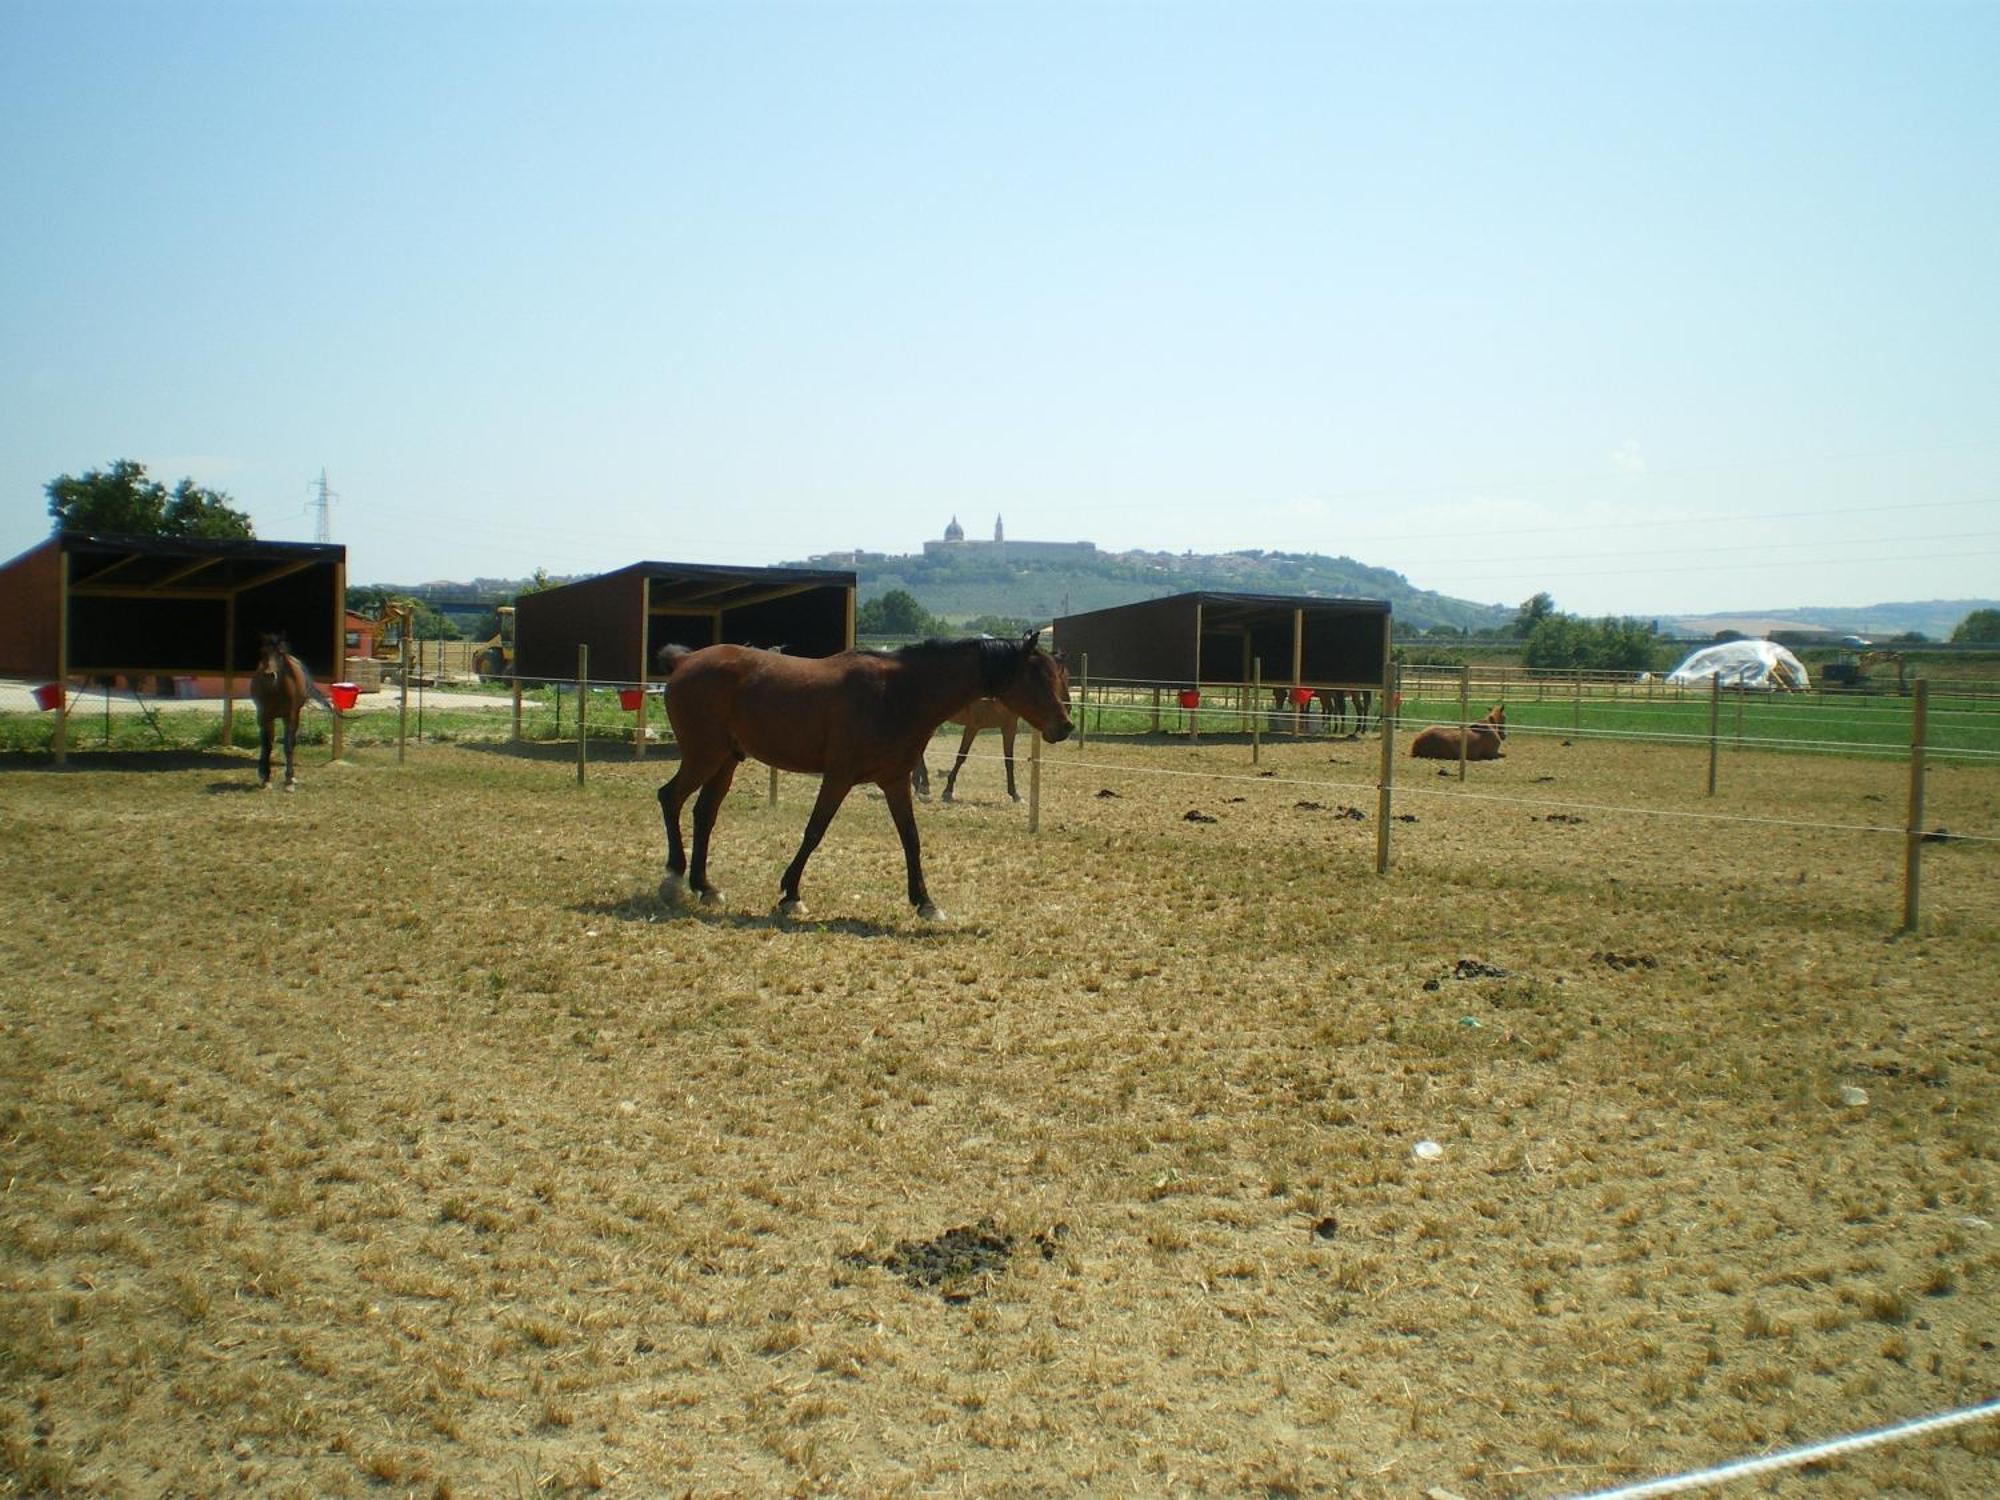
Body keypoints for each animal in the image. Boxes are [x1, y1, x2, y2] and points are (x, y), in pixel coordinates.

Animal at [250, 632, 332, 792]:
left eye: (281, 653)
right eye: (263, 652)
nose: (269, 675)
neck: (277, 690)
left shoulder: (291, 715)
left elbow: (288, 745)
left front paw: (289, 780)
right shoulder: (266, 716)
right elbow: (267, 745)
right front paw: (266, 779)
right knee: (265, 742)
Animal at [656, 632, 1072, 924]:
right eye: (1036, 675)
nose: (1065, 726)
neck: (899, 692)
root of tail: (685, 660)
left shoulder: (895, 781)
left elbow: (911, 839)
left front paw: (925, 902)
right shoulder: (838, 777)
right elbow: (814, 831)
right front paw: (791, 895)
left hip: (725, 761)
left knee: (703, 814)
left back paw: (705, 887)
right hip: (703, 757)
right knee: (670, 798)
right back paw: (674, 878)